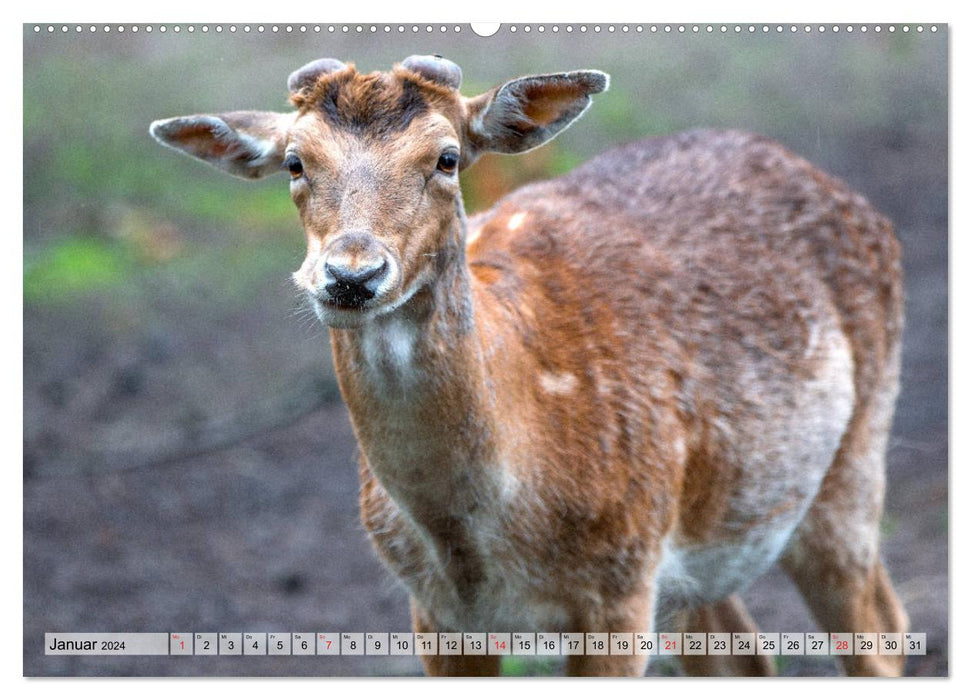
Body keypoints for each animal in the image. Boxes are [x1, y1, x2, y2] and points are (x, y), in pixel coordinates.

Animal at [148, 54, 908, 680]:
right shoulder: (436, 611)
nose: (350, 275)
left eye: (447, 158)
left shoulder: (619, 585)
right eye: (295, 163)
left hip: (852, 460)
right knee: (744, 656)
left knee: (881, 626)